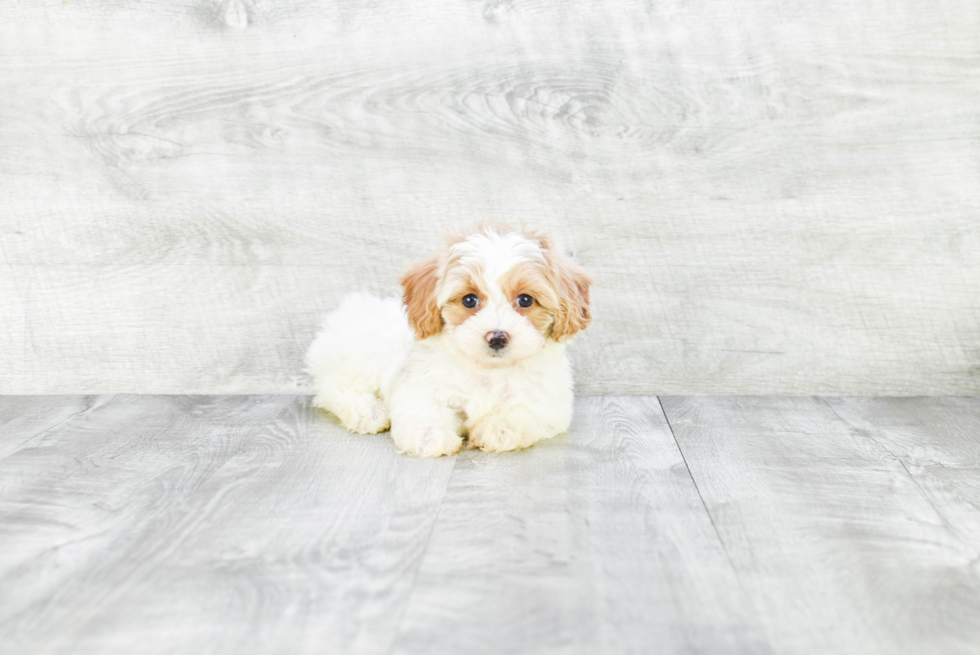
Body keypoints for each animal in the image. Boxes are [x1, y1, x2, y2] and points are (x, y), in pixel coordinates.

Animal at [304, 223, 588, 458]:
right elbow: (424, 409)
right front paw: (430, 435)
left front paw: (500, 428)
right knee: (333, 388)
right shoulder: (422, 385)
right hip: (362, 355)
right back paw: (367, 410)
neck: (488, 371)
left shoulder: (549, 400)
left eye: (526, 300)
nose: (497, 337)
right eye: (469, 300)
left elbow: (524, 410)